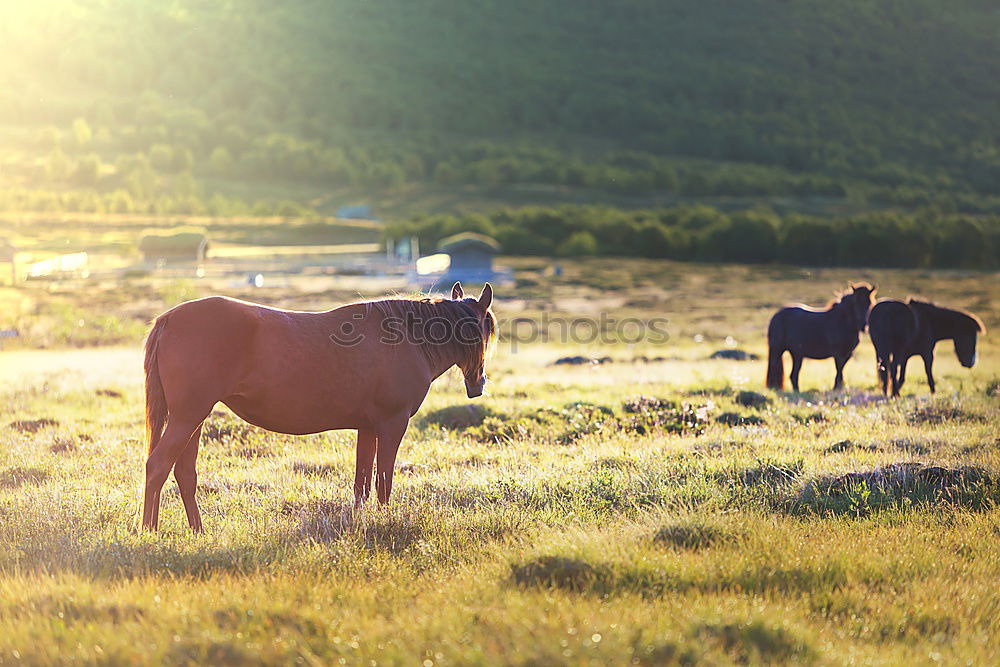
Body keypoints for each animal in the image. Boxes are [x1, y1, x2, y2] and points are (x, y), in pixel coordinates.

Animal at [139, 282, 498, 532]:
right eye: (484, 330)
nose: (478, 384)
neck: (406, 339)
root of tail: (168, 319)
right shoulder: (392, 425)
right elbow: (383, 482)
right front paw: (384, 521)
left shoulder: (367, 428)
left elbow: (361, 483)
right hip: (187, 418)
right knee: (157, 466)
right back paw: (149, 531)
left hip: (193, 419)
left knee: (184, 473)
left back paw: (197, 531)